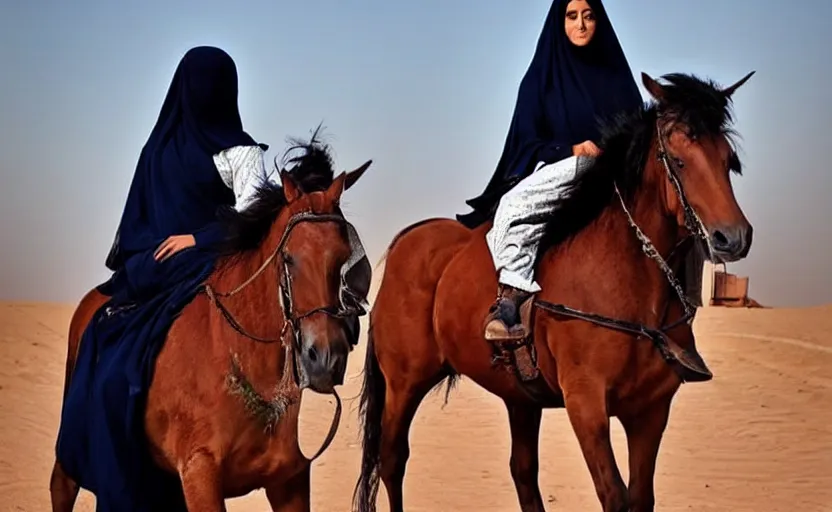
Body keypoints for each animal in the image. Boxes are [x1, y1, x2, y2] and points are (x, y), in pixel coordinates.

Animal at [50, 140, 372, 512]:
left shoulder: (288, 480)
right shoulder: (199, 473)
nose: (326, 358)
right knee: (61, 486)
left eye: (345, 257)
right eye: (289, 257)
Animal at [354, 72, 756, 512]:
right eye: (679, 161)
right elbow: (614, 496)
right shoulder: (585, 403)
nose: (733, 237)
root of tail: (406, 240)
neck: (631, 291)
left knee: (522, 472)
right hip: (404, 381)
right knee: (393, 458)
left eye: (728, 161)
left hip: (519, 398)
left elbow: (640, 498)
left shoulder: (651, 411)